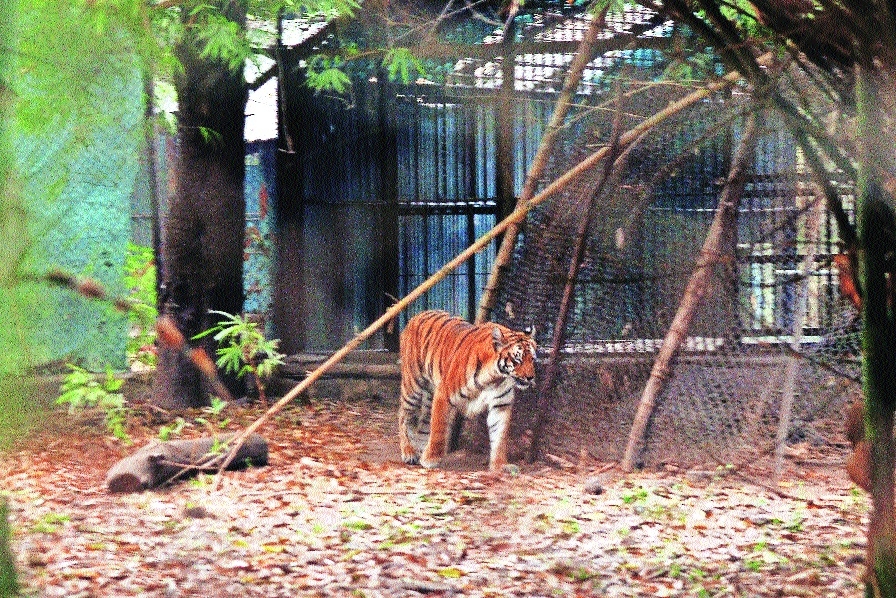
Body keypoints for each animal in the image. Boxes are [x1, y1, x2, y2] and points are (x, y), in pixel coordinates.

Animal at [397, 310, 537, 471]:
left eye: (532, 359)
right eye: (517, 359)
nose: (530, 377)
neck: (495, 378)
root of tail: (417, 315)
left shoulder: (501, 405)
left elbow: (500, 436)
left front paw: (500, 465)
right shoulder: (444, 395)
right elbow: (438, 429)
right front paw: (431, 459)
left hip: (429, 395)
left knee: (424, 422)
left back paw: (420, 449)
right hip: (413, 386)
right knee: (403, 416)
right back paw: (409, 452)